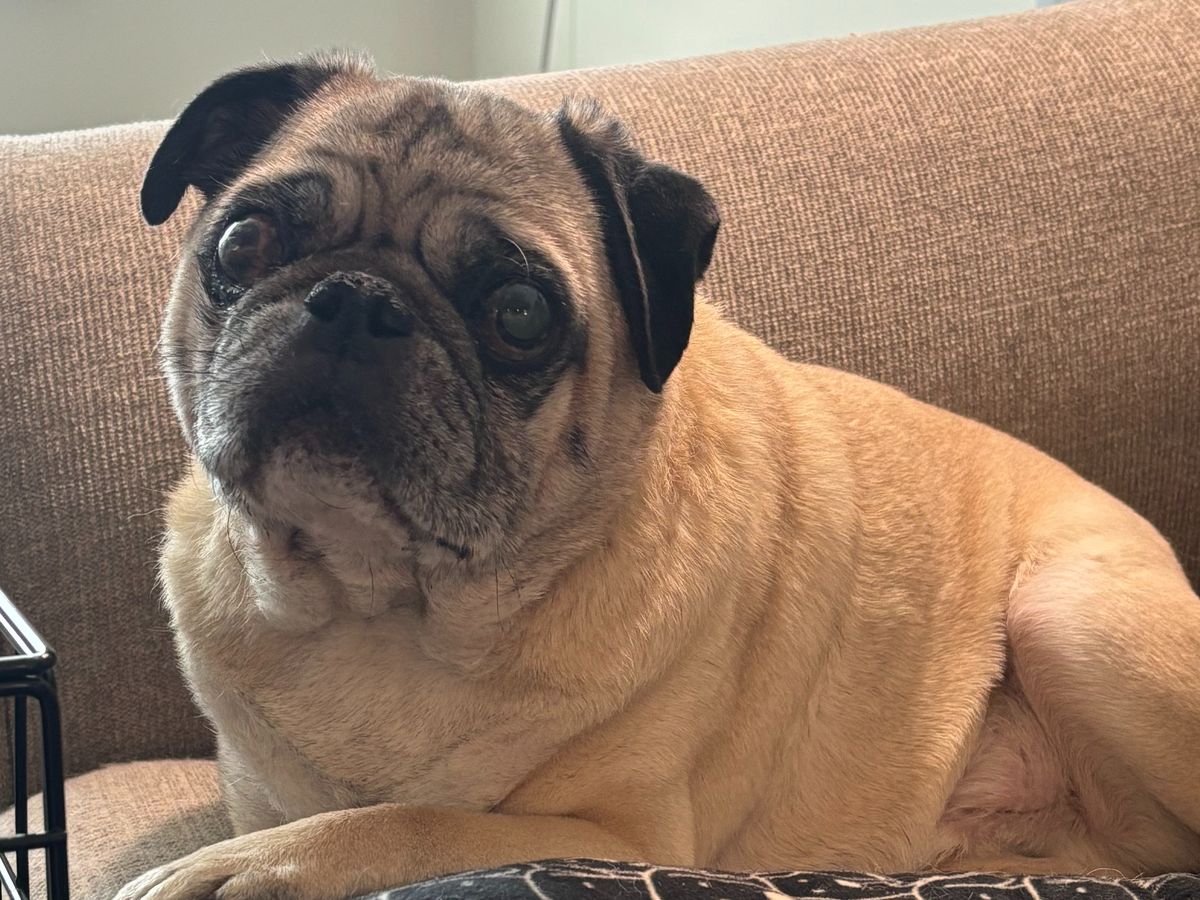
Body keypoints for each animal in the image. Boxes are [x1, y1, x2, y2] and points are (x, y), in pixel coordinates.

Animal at [116, 53, 1200, 899]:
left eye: (519, 314)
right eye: (245, 242)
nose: (355, 301)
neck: (380, 605)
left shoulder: (618, 837)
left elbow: (410, 823)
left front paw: (247, 867)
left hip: (1068, 613)